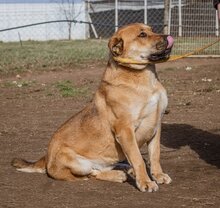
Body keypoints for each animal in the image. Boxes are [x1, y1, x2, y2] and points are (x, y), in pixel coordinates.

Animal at [12, 22, 174, 192]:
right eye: (142, 35)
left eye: (151, 30)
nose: (168, 36)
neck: (145, 80)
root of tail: (46, 157)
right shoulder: (125, 130)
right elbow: (138, 159)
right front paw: (145, 182)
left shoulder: (156, 125)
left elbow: (155, 155)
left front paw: (158, 175)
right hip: (78, 163)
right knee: (92, 173)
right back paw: (118, 175)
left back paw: (124, 169)